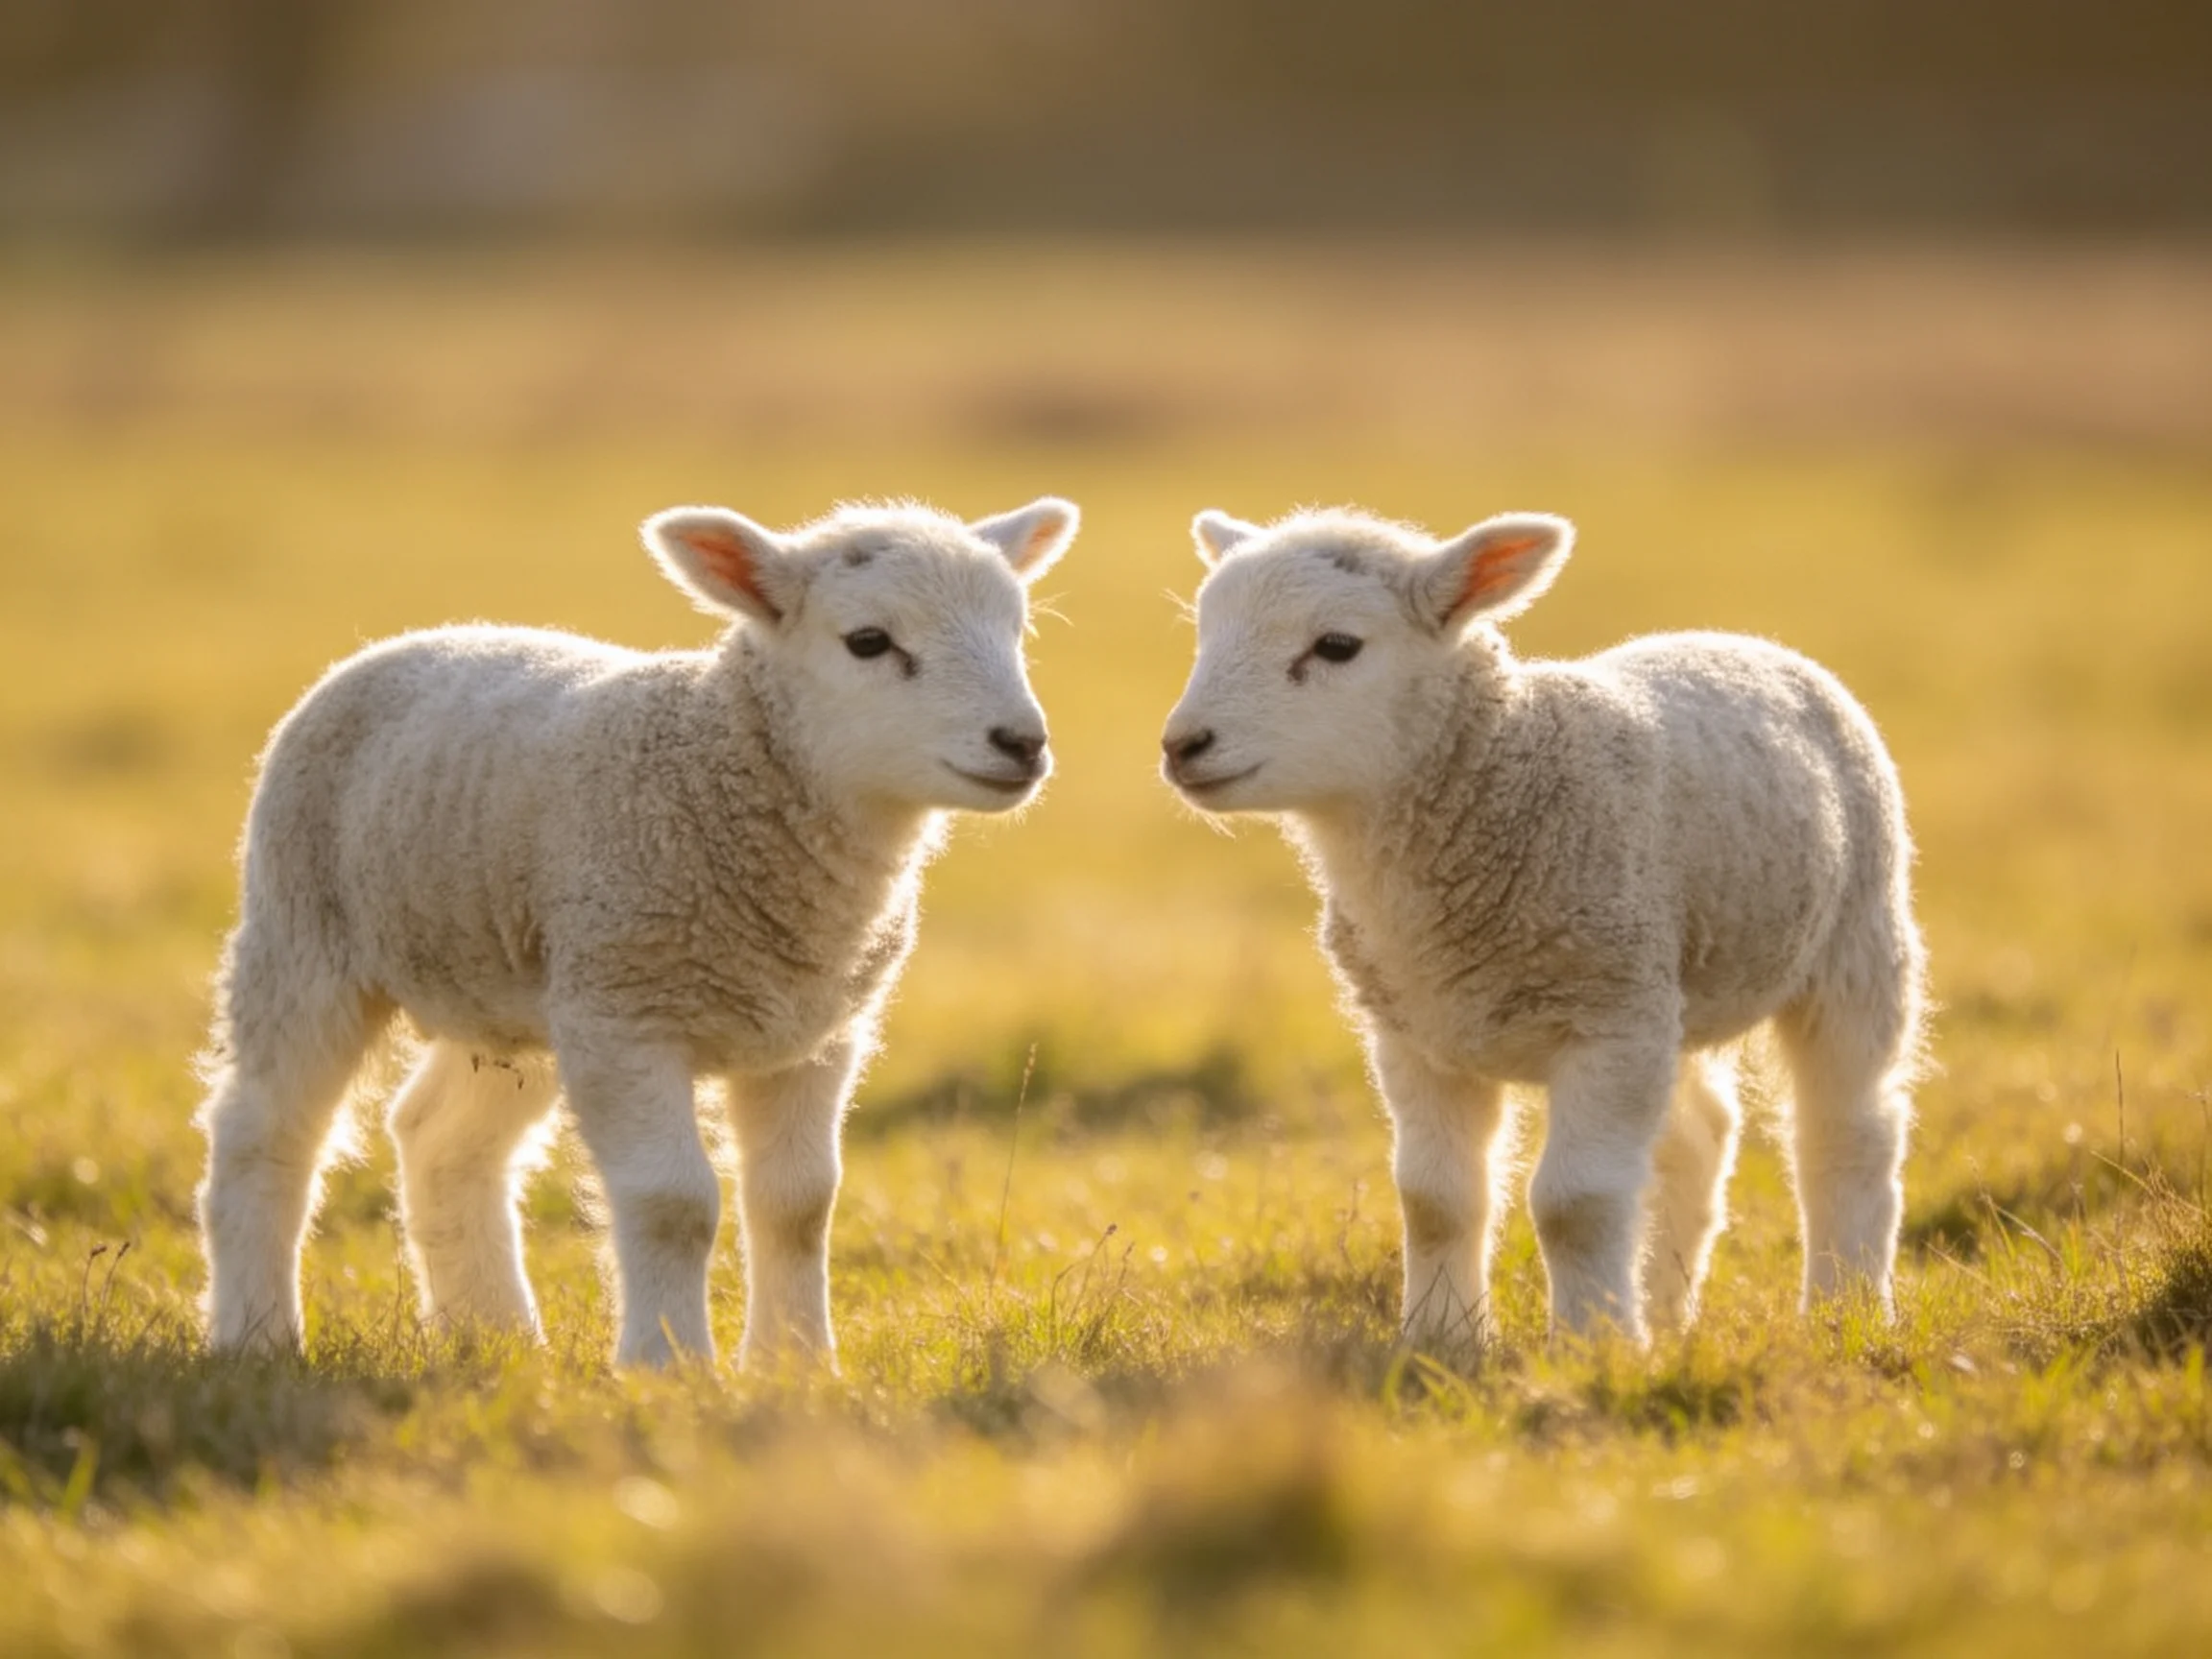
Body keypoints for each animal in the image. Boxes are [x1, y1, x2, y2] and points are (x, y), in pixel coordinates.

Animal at [196, 496, 1079, 1369]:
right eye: (869, 641)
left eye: (1016, 630)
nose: (1023, 743)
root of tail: (414, 639)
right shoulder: (630, 1015)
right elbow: (673, 1202)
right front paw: (669, 1366)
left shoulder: (814, 1034)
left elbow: (798, 1203)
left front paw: (796, 1365)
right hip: (303, 934)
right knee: (263, 1136)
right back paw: (257, 1337)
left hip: (520, 995)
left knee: (440, 1139)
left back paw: (496, 1337)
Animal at [1160, 506, 1925, 1352]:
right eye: (1204, 632)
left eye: (1336, 646)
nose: (1182, 745)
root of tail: (1745, 641)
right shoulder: (1418, 1037)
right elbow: (1434, 1199)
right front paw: (1441, 1341)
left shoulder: (1605, 1019)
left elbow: (1575, 1203)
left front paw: (1594, 1345)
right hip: (1671, 983)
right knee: (1697, 1136)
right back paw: (1666, 1309)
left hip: (1856, 939)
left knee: (1848, 1134)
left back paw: (1846, 1308)